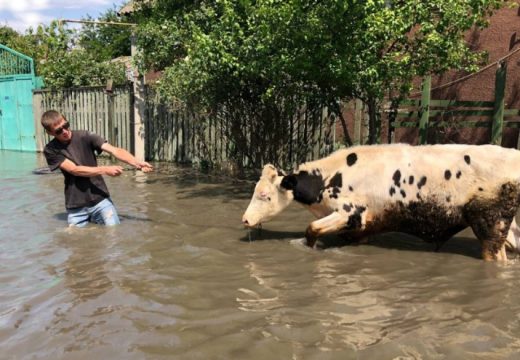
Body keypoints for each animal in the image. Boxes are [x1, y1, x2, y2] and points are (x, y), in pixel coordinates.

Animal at [241, 144, 520, 262]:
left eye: (264, 195)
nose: (245, 219)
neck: (330, 177)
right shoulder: (363, 227)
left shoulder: (350, 213)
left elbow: (312, 230)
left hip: (491, 226)